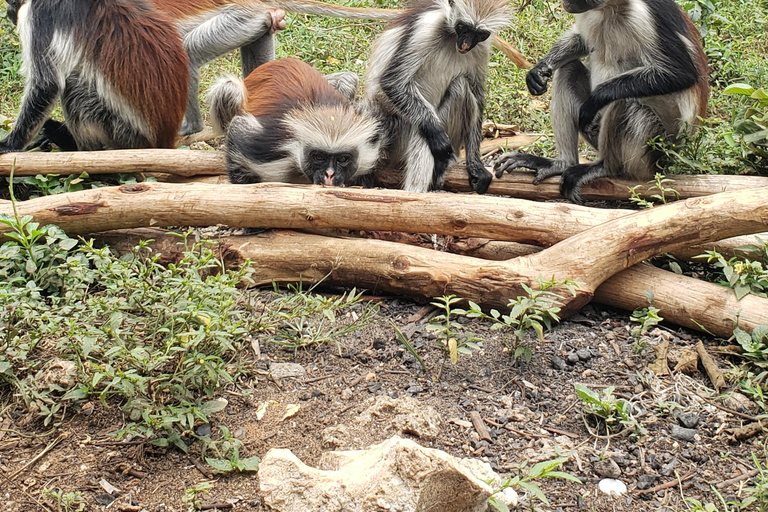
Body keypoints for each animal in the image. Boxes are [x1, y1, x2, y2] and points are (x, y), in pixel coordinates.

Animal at [1, 0, 189, 152]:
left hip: (124, 133)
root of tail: (163, 139)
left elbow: (46, 85)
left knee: (74, 90)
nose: (9, 11)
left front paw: (9, 144)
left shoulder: (39, 14)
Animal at [208, 58, 382, 186]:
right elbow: (238, 127)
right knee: (229, 88)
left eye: (343, 159)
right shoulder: (265, 148)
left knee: (349, 79)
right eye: (318, 157)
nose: (329, 174)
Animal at [364, 0, 512, 194]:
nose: (466, 44)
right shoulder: (426, 28)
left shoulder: (482, 46)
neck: (451, 37)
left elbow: (478, 96)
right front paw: (437, 135)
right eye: (462, 27)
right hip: (397, 134)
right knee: (426, 131)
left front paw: (475, 164)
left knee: (461, 87)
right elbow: (393, 82)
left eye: (479, 34)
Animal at [492, 0, 708, 202]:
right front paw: (539, 70)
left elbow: (682, 74)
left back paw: (606, 167)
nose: (565, 3)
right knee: (568, 69)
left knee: (621, 100)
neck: (610, 9)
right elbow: (581, 40)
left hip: (657, 148)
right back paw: (562, 164)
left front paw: (595, 100)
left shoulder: (643, 14)